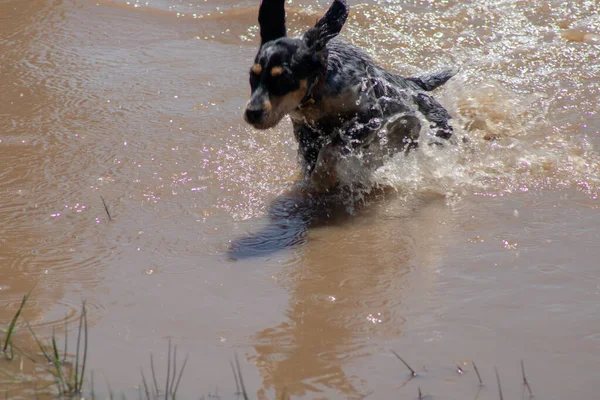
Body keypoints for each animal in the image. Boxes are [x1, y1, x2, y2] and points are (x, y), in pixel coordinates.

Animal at [244, 0, 454, 192]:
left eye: (283, 78)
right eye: (253, 76)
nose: (252, 113)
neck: (318, 97)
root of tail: (416, 85)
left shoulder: (371, 116)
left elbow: (333, 145)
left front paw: (324, 177)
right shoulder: (305, 132)